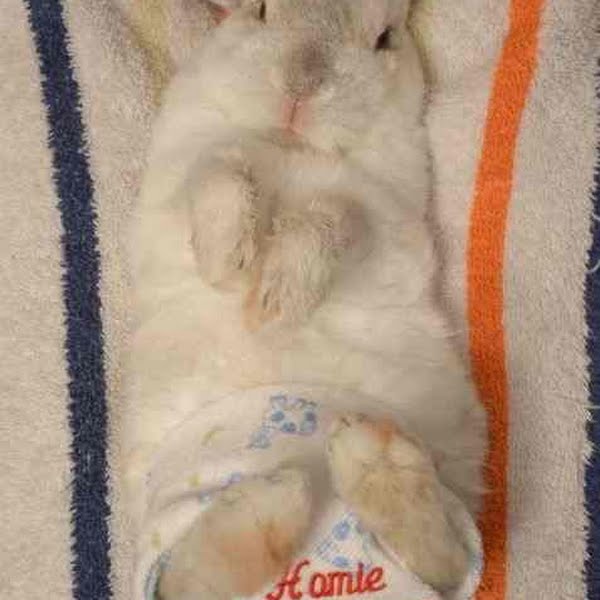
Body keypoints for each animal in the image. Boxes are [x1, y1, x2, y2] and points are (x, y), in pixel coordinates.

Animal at [124, 0, 487, 598]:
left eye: (384, 39)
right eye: (259, 10)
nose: (302, 87)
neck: (289, 146)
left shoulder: (384, 223)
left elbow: (334, 219)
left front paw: (277, 298)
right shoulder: (179, 177)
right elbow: (218, 172)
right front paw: (229, 261)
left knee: (444, 563)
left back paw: (367, 460)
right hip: (167, 523)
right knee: (193, 578)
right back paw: (278, 499)